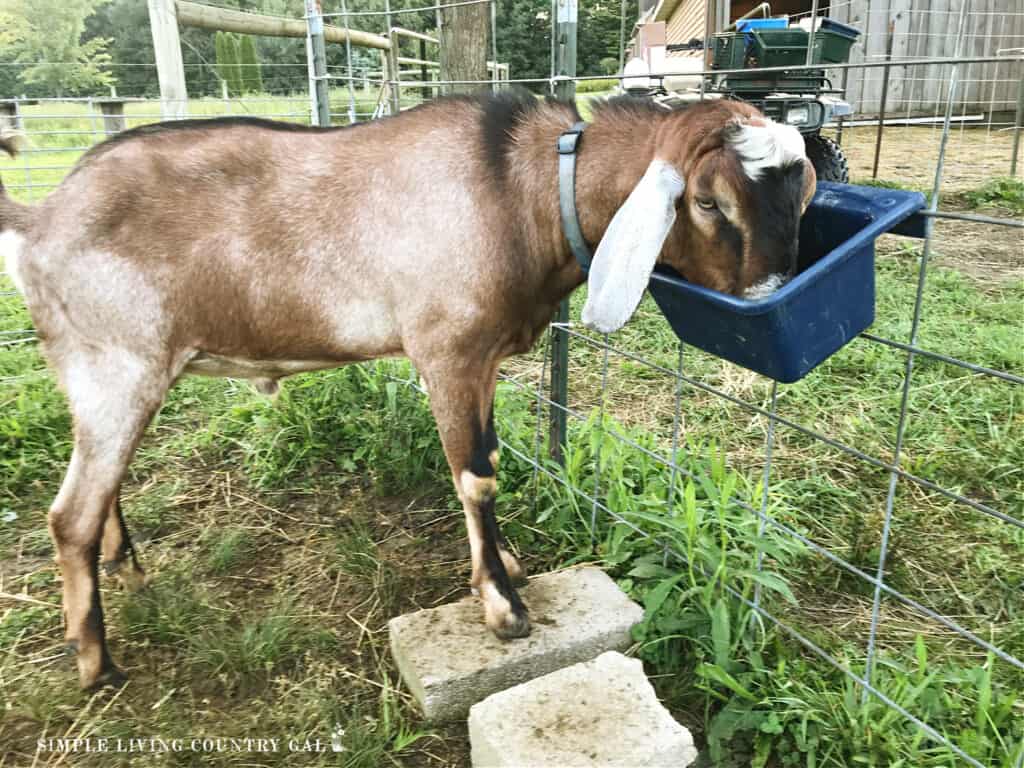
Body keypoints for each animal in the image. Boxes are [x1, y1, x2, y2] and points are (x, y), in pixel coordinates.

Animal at [0, 91, 815, 692]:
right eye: (708, 202)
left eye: (801, 193)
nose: (771, 295)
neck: (517, 191)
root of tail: (40, 218)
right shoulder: (445, 350)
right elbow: (474, 476)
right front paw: (503, 608)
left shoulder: (480, 359)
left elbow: (488, 457)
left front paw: (509, 564)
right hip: (116, 365)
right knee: (68, 515)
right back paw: (97, 664)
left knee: (98, 489)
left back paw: (123, 565)